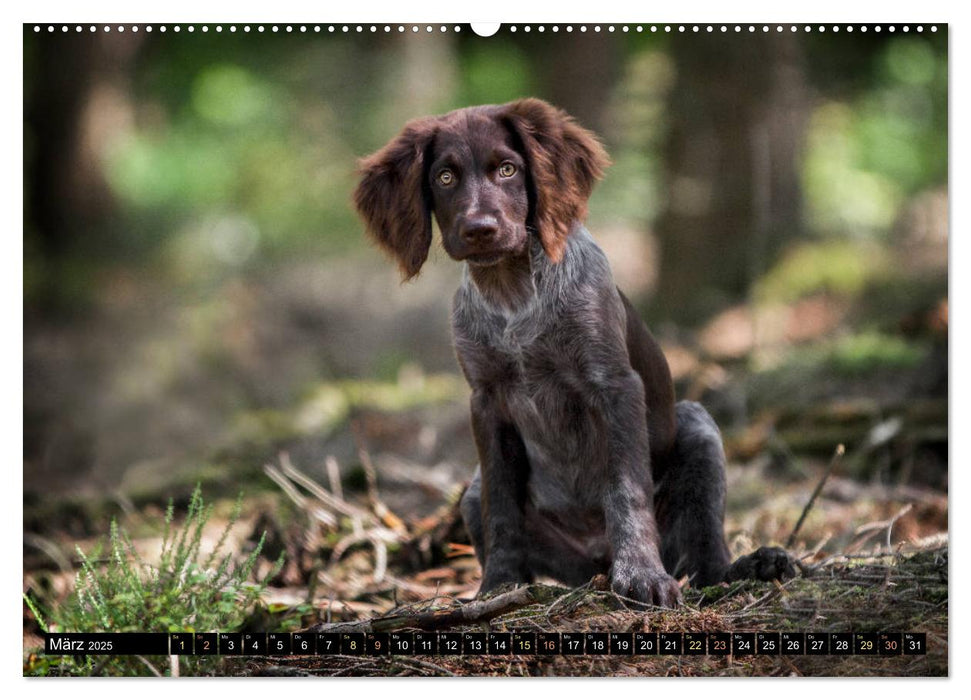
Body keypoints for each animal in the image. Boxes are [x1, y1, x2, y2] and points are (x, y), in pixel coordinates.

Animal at [354, 98, 792, 608]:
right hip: (474, 494)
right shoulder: (486, 402)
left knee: (704, 563)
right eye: (444, 177)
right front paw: (499, 585)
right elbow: (502, 506)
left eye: (508, 169)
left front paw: (641, 574)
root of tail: (594, 560)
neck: (513, 292)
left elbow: (626, 489)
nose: (480, 229)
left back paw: (752, 565)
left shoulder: (614, 386)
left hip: (697, 426)